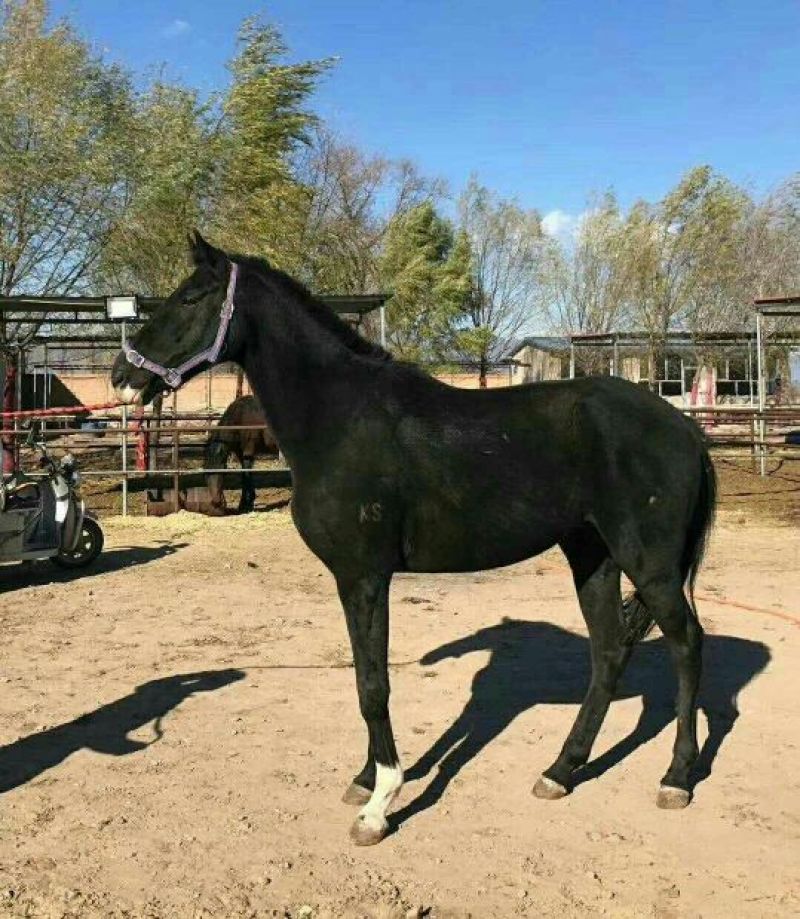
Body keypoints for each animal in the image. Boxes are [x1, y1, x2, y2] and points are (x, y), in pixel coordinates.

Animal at [109, 235, 716, 848]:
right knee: (610, 651)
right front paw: (364, 779)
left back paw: (676, 778)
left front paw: (379, 805)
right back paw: (560, 771)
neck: (341, 418)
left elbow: (373, 685)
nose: (121, 374)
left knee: (688, 646)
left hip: (650, 564)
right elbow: (363, 675)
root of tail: (683, 427)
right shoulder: (355, 580)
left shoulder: (364, 576)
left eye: (190, 298)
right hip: (593, 555)